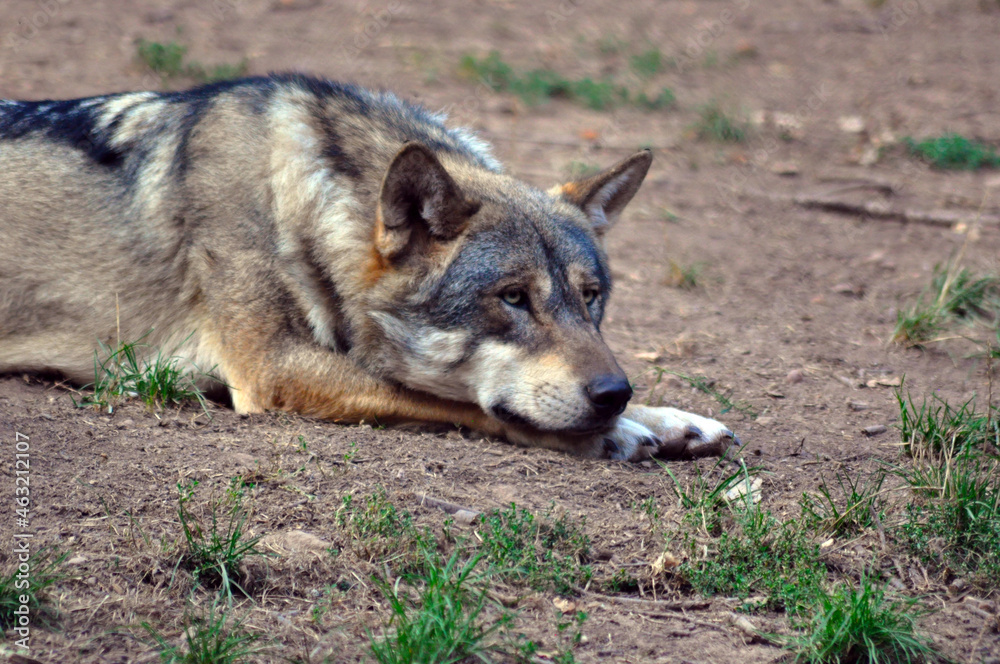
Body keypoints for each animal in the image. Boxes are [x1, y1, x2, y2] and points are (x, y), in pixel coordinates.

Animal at [0, 74, 738, 461]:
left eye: (592, 297)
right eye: (513, 298)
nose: (612, 393)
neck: (295, 200)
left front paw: (668, 419)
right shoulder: (272, 368)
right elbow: (447, 397)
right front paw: (626, 431)